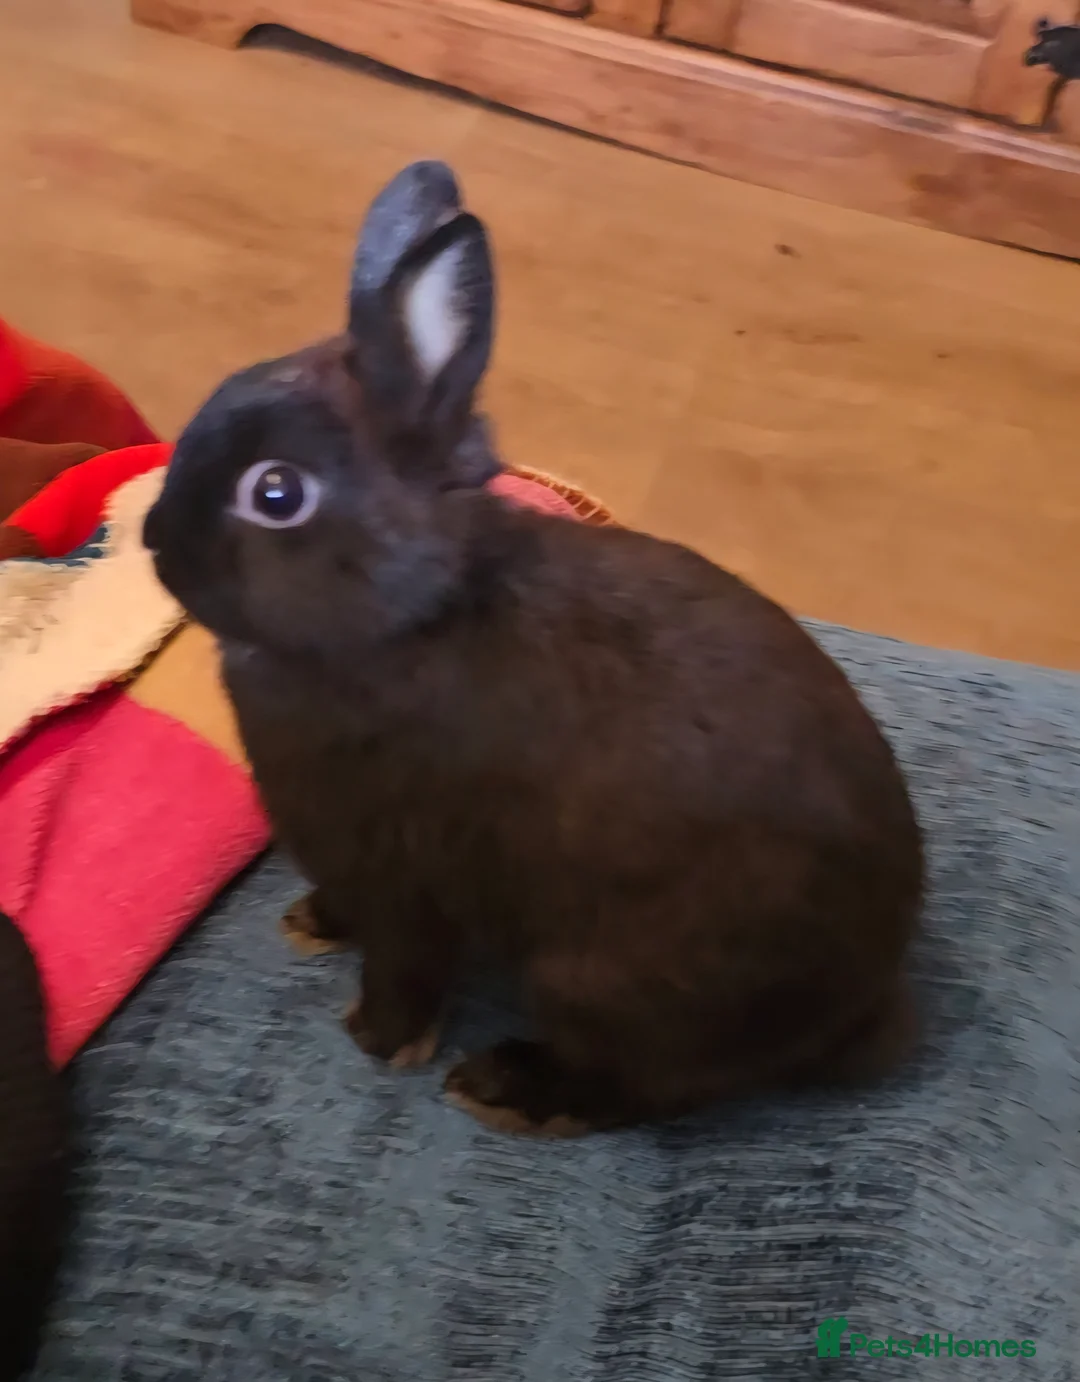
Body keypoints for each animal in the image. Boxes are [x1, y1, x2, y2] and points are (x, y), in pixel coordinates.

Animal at [143, 160, 923, 1136]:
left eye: (276, 493)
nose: (153, 541)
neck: (407, 616)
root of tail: (861, 1012)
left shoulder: (406, 878)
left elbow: (404, 965)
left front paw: (379, 1040)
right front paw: (314, 922)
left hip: (602, 981)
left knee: (641, 1089)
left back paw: (505, 1090)